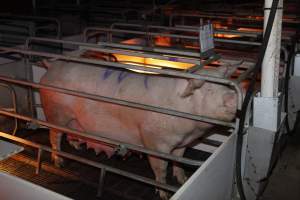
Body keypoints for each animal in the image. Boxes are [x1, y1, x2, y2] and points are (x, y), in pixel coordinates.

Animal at [39, 52, 237, 199]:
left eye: (227, 87)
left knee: (69, 133)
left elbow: (178, 161)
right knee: (54, 136)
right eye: (208, 89)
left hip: (72, 120)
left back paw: (77, 147)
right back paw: (60, 162)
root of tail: (52, 66)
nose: (234, 97)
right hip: (55, 113)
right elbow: (160, 168)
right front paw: (164, 194)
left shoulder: (183, 143)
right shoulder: (154, 142)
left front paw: (183, 180)